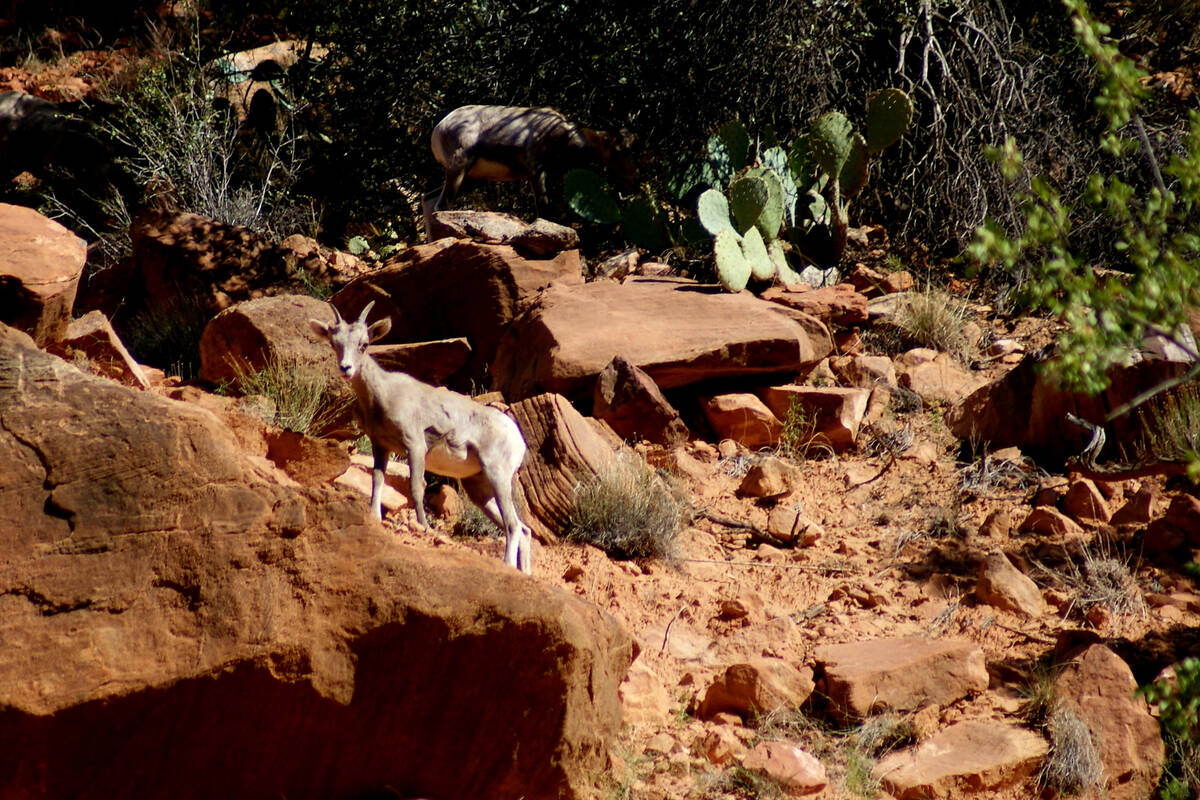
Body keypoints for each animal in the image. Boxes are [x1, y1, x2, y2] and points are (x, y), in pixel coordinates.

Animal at [309, 302, 535, 575]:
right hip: (479, 488)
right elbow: (377, 480)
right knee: (524, 529)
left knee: (513, 526)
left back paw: (507, 565)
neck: (383, 395)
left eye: (364, 344)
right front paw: (374, 516)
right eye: (335, 343)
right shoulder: (381, 446)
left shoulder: (414, 445)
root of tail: (518, 439)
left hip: (497, 475)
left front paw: (423, 526)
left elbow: (417, 487)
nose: (346, 369)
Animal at [422, 103, 638, 235]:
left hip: (468, 178)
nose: (632, 179)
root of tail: (440, 127)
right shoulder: (536, 172)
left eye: (633, 146)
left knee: (428, 200)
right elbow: (543, 208)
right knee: (440, 205)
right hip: (458, 170)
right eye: (617, 150)